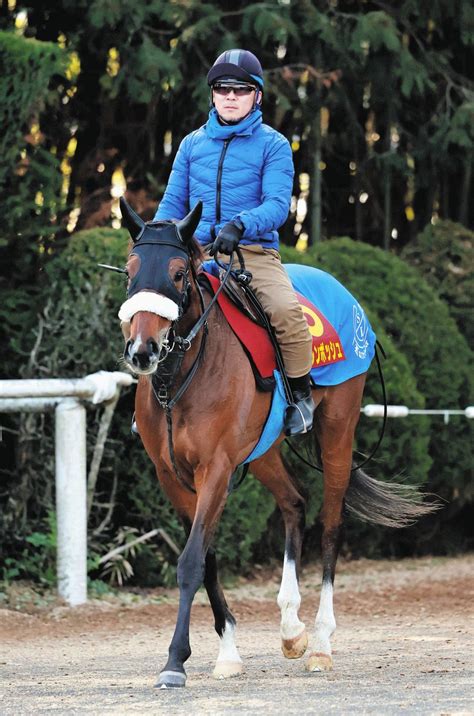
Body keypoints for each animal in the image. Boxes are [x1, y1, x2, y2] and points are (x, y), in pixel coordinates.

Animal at [114, 196, 434, 688]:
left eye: (179, 273)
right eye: (130, 271)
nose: (142, 350)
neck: (182, 376)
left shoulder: (216, 468)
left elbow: (190, 561)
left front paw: (174, 661)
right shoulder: (172, 476)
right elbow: (206, 558)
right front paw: (228, 652)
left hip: (338, 429)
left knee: (330, 525)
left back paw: (319, 643)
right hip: (262, 450)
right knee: (294, 502)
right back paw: (290, 627)